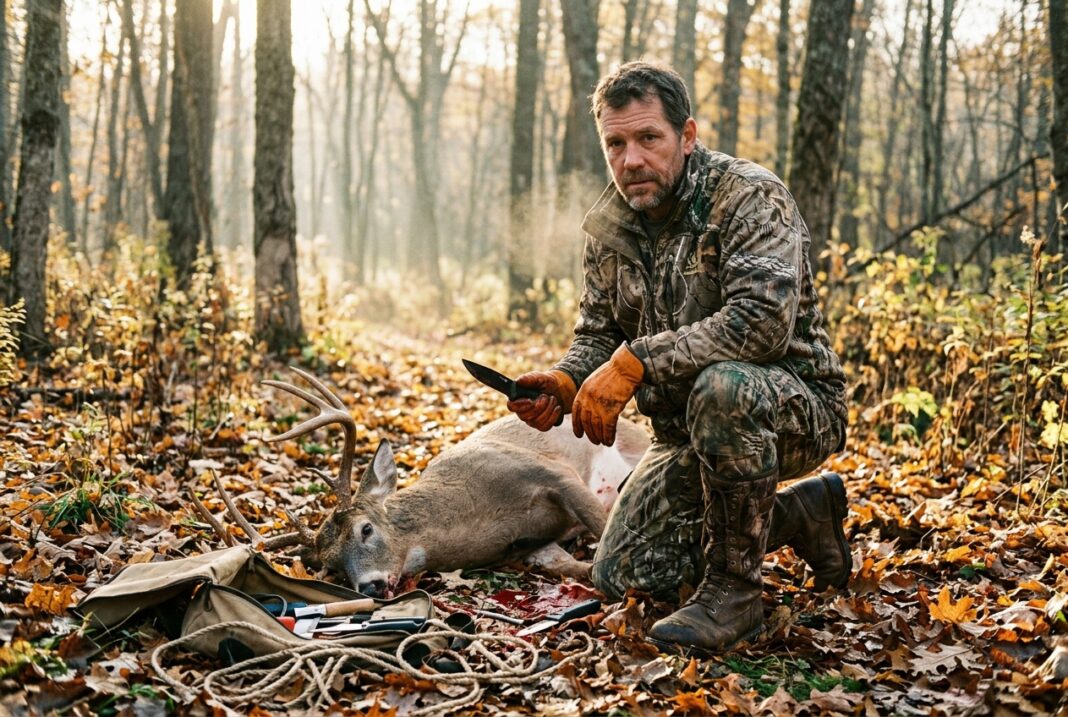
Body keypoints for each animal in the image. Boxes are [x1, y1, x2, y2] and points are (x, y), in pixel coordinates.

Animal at [190, 367, 649, 598]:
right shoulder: (529, 547)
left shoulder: (550, 471)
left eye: (366, 529)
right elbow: (579, 568)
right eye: (331, 567)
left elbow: (602, 535)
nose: (371, 586)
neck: (481, 514)